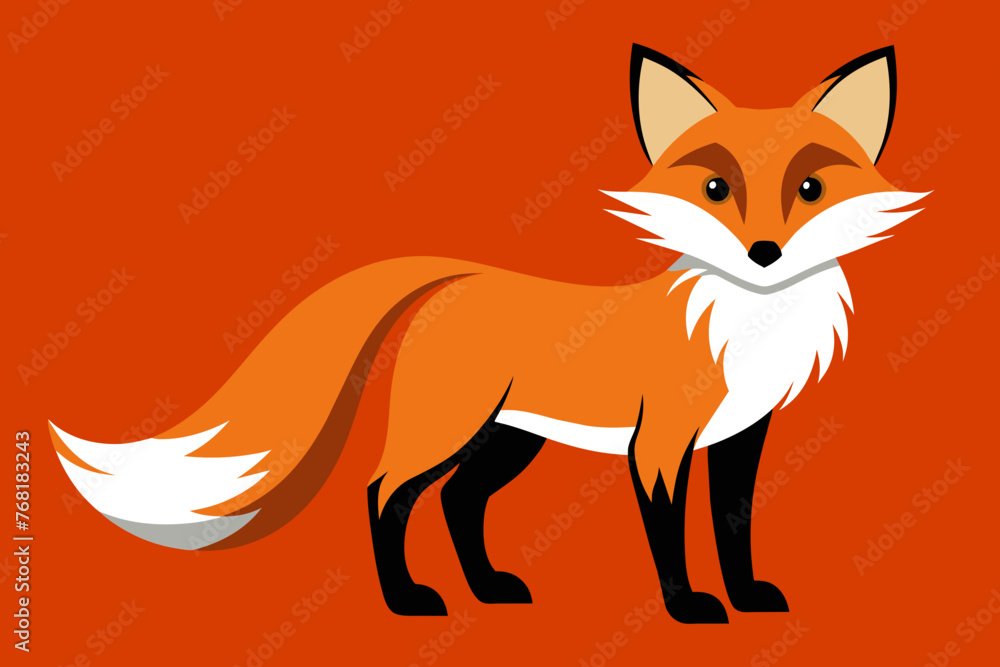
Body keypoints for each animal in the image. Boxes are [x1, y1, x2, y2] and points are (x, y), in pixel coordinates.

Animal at [51, 44, 928, 623]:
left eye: (810, 188)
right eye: (715, 188)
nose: (765, 252)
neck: (745, 324)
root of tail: (460, 277)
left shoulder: (740, 437)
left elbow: (735, 525)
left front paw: (746, 596)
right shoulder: (658, 445)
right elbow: (671, 535)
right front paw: (689, 606)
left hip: (508, 439)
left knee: (458, 499)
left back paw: (488, 588)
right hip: (451, 428)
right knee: (385, 491)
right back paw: (408, 599)